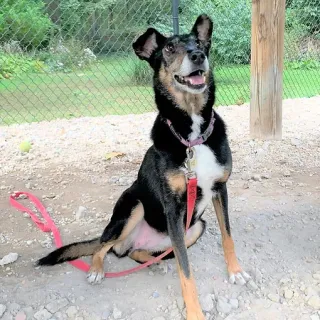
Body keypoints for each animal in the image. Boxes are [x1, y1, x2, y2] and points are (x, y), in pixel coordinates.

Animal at [38, 14, 250, 320]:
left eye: (199, 44)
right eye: (169, 48)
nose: (198, 56)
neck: (192, 135)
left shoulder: (220, 190)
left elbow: (227, 237)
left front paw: (235, 271)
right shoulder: (173, 207)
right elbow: (186, 271)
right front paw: (195, 312)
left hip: (195, 227)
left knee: (134, 253)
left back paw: (153, 260)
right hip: (132, 207)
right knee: (103, 247)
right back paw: (97, 270)